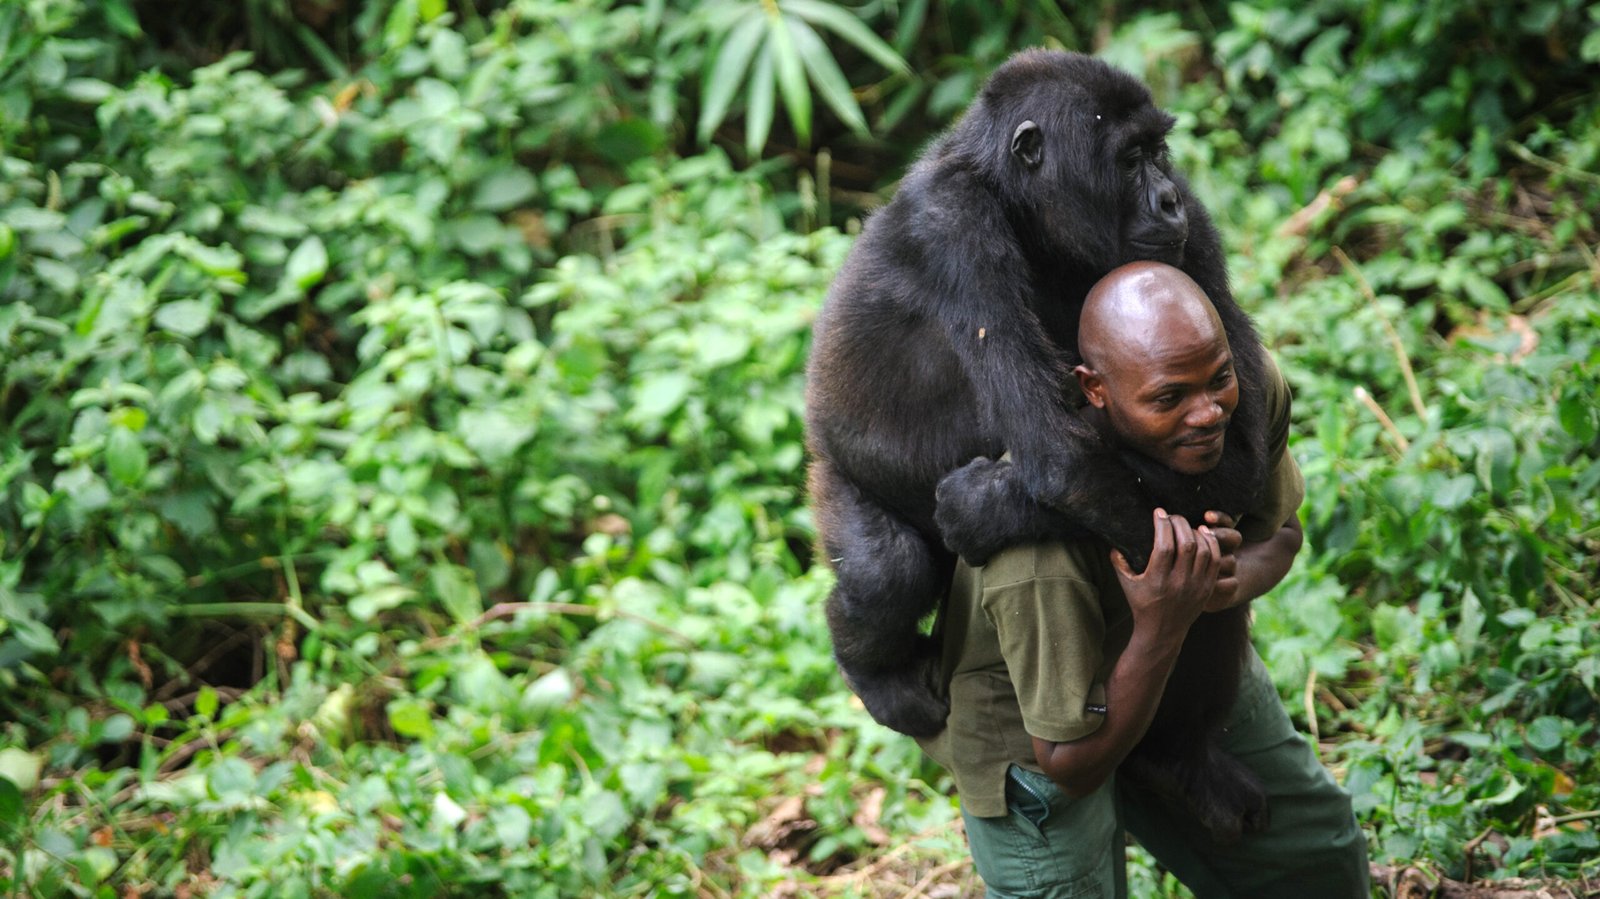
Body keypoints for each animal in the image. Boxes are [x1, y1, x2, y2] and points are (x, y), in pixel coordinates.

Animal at [800, 48, 1273, 831]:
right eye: (1130, 157)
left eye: (1161, 153)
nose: (1168, 199)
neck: (1020, 204)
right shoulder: (953, 228)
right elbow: (1066, 460)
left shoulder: (1194, 237)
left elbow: (1241, 442)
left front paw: (983, 508)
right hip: (833, 471)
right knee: (884, 567)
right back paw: (874, 669)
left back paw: (1179, 757)